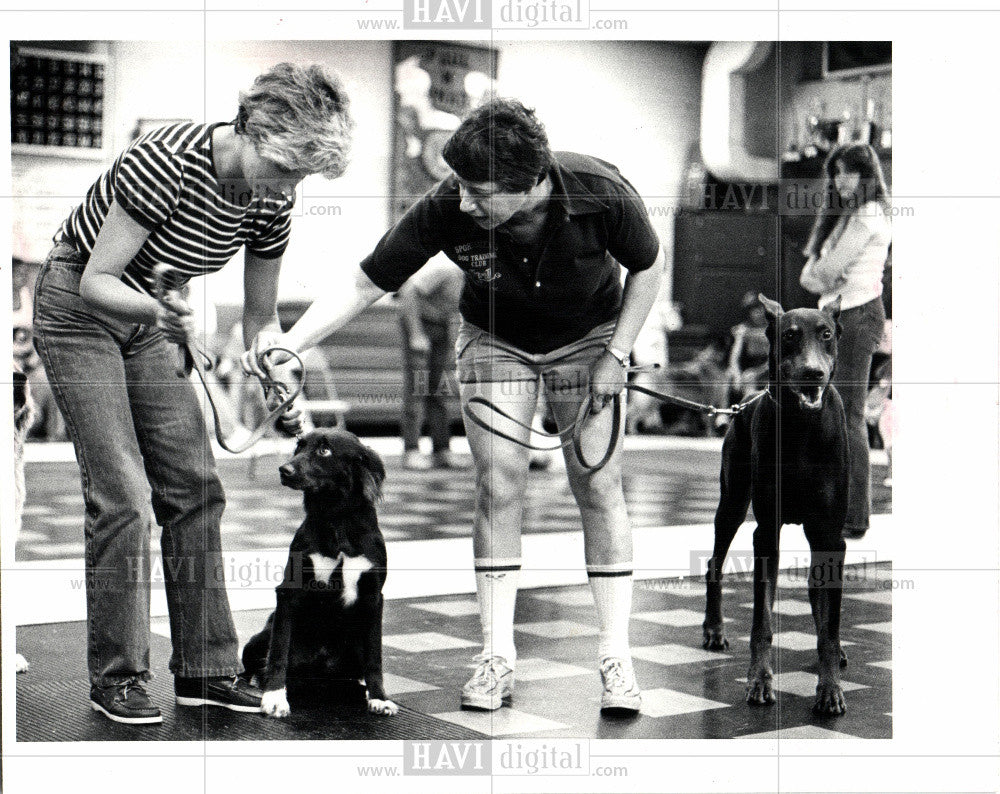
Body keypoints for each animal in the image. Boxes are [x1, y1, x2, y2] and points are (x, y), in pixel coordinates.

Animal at [242, 426, 398, 716]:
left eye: (324, 450)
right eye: (298, 446)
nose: (284, 470)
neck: (337, 520)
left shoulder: (373, 597)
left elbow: (375, 657)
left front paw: (379, 697)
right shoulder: (289, 593)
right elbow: (279, 650)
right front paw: (274, 696)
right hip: (259, 638)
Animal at [700, 294, 848, 716]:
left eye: (827, 334)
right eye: (790, 336)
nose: (814, 374)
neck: (801, 426)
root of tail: (741, 406)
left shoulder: (831, 535)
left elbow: (830, 628)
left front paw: (829, 688)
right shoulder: (766, 533)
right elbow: (761, 622)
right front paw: (759, 681)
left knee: (818, 593)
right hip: (732, 502)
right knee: (714, 563)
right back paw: (714, 630)